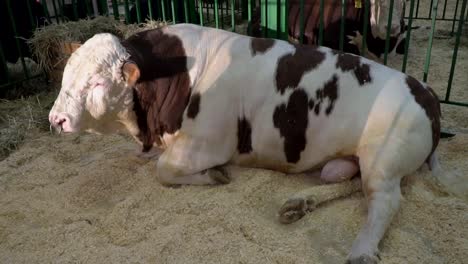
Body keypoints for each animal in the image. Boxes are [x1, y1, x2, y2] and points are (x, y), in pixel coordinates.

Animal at [49, 23, 440, 262]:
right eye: (67, 75)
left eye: (98, 83)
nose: (56, 120)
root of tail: (426, 91)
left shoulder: (207, 143)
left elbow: (165, 170)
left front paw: (214, 176)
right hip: (352, 160)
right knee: (350, 183)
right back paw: (298, 204)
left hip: (384, 159)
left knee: (384, 202)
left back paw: (361, 250)